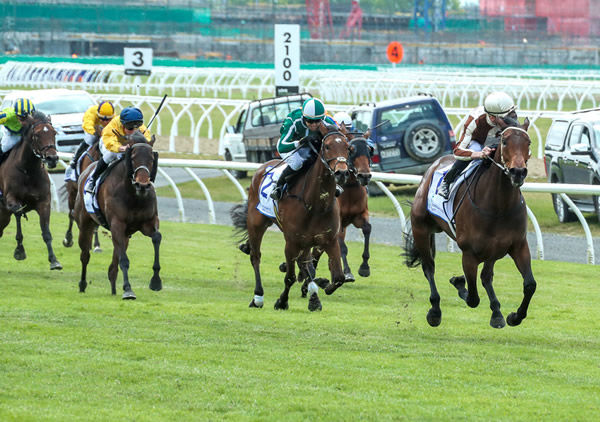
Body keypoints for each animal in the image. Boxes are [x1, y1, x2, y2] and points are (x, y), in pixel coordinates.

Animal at [0, 111, 62, 270]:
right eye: (37, 135)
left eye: (54, 132)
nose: (52, 158)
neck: (28, 170)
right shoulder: (11, 199)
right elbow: (18, 213)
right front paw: (19, 250)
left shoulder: (44, 202)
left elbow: (46, 232)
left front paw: (54, 260)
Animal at [73, 133, 162, 300]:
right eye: (132, 157)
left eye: (152, 159)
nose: (142, 185)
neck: (134, 195)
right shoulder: (117, 225)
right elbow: (124, 260)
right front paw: (128, 290)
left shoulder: (147, 222)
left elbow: (156, 237)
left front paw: (156, 281)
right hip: (85, 223)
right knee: (85, 255)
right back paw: (82, 284)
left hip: (125, 235)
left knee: (114, 262)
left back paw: (113, 288)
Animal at [231, 128, 352, 310]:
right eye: (328, 146)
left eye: (348, 148)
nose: (342, 172)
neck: (315, 204)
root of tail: (262, 169)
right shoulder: (291, 241)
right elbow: (290, 277)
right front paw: (282, 301)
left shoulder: (328, 240)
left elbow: (338, 277)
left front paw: (322, 289)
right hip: (256, 224)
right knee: (255, 256)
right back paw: (258, 297)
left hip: (305, 240)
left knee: (304, 263)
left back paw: (314, 294)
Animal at [312, 134, 372, 286]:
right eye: (352, 151)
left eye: (370, 150)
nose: (365, 176)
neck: (349, 188)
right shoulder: (336, 221)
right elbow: (342, 246)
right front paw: (348, 272)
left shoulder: (359, 215)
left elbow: (367, 228)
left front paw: (364, 267)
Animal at [404, 117, 536, 328]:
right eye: (505, 141)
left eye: (528, 142)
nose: (518, 172)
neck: (499, 207)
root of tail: (434, 165)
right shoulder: (469, 254)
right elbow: (473, 298)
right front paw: (458, 282)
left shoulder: (518, 245)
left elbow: (530, 284)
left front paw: (514, 316)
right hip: (421, 229)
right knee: (429, 268)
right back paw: (435, 311)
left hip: (493, 251)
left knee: (486, 277)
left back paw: (496, 312)